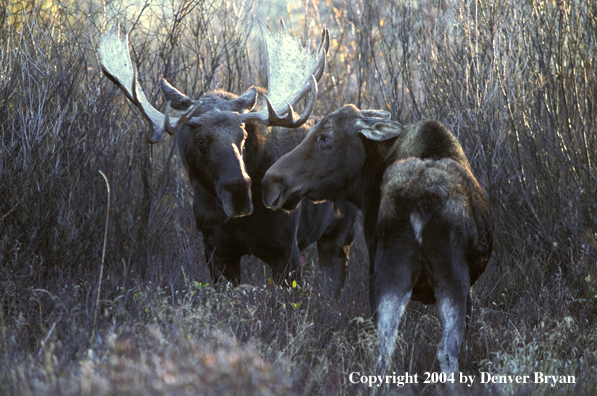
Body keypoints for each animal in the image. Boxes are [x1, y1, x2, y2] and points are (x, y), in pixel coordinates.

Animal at [97, 21, 356, 298]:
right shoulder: (216, 250)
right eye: (200, 139)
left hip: (342, 232)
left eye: (243, 134)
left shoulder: (286, 249)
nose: (239, 192)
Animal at [264, 104, 492, 374]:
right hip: (443, 277)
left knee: (386, 350)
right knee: (444, 353)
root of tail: (417, 204)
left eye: (324, 137)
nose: (270, 182)